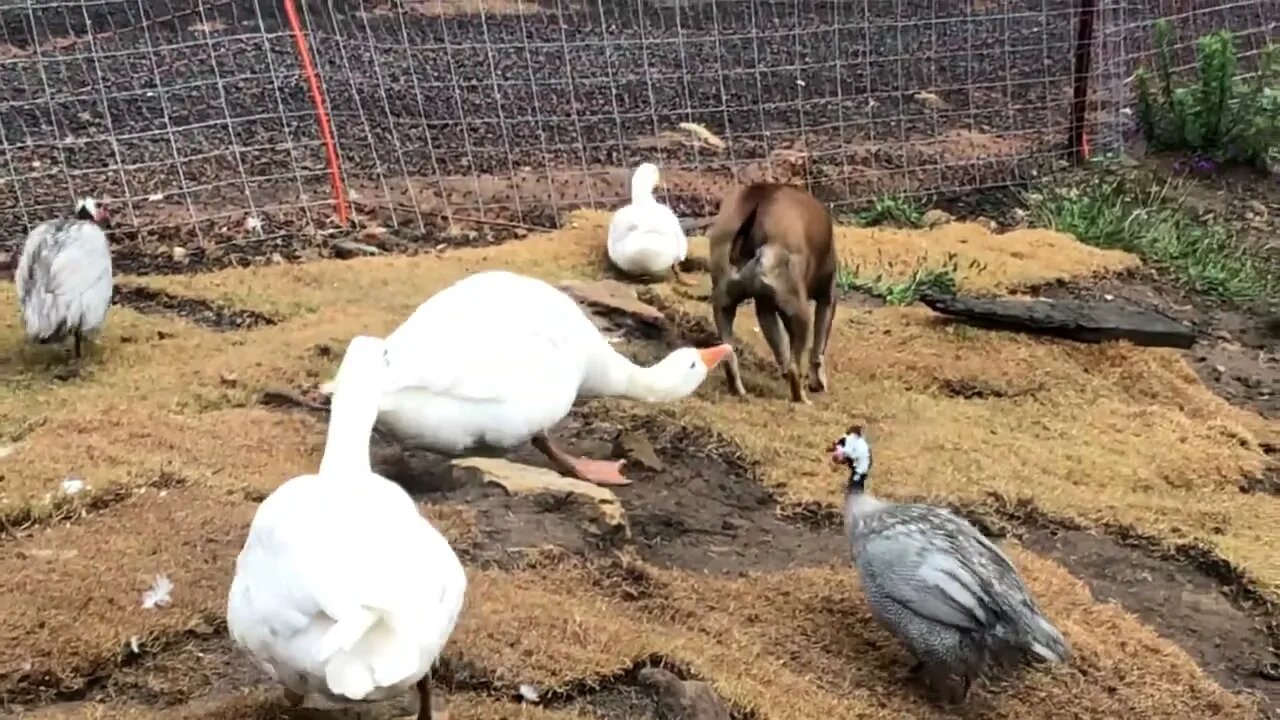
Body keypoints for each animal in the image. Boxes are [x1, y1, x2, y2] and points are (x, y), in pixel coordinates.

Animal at [706, 181, 834, 399]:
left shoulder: (765, 308)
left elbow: (780, 347)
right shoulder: (827, 297)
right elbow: (818, 349)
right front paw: (818, 382)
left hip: (723, 308)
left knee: (730, 359)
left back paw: (739, 391)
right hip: (801, 314)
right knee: (795, 369)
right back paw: (802, 399)